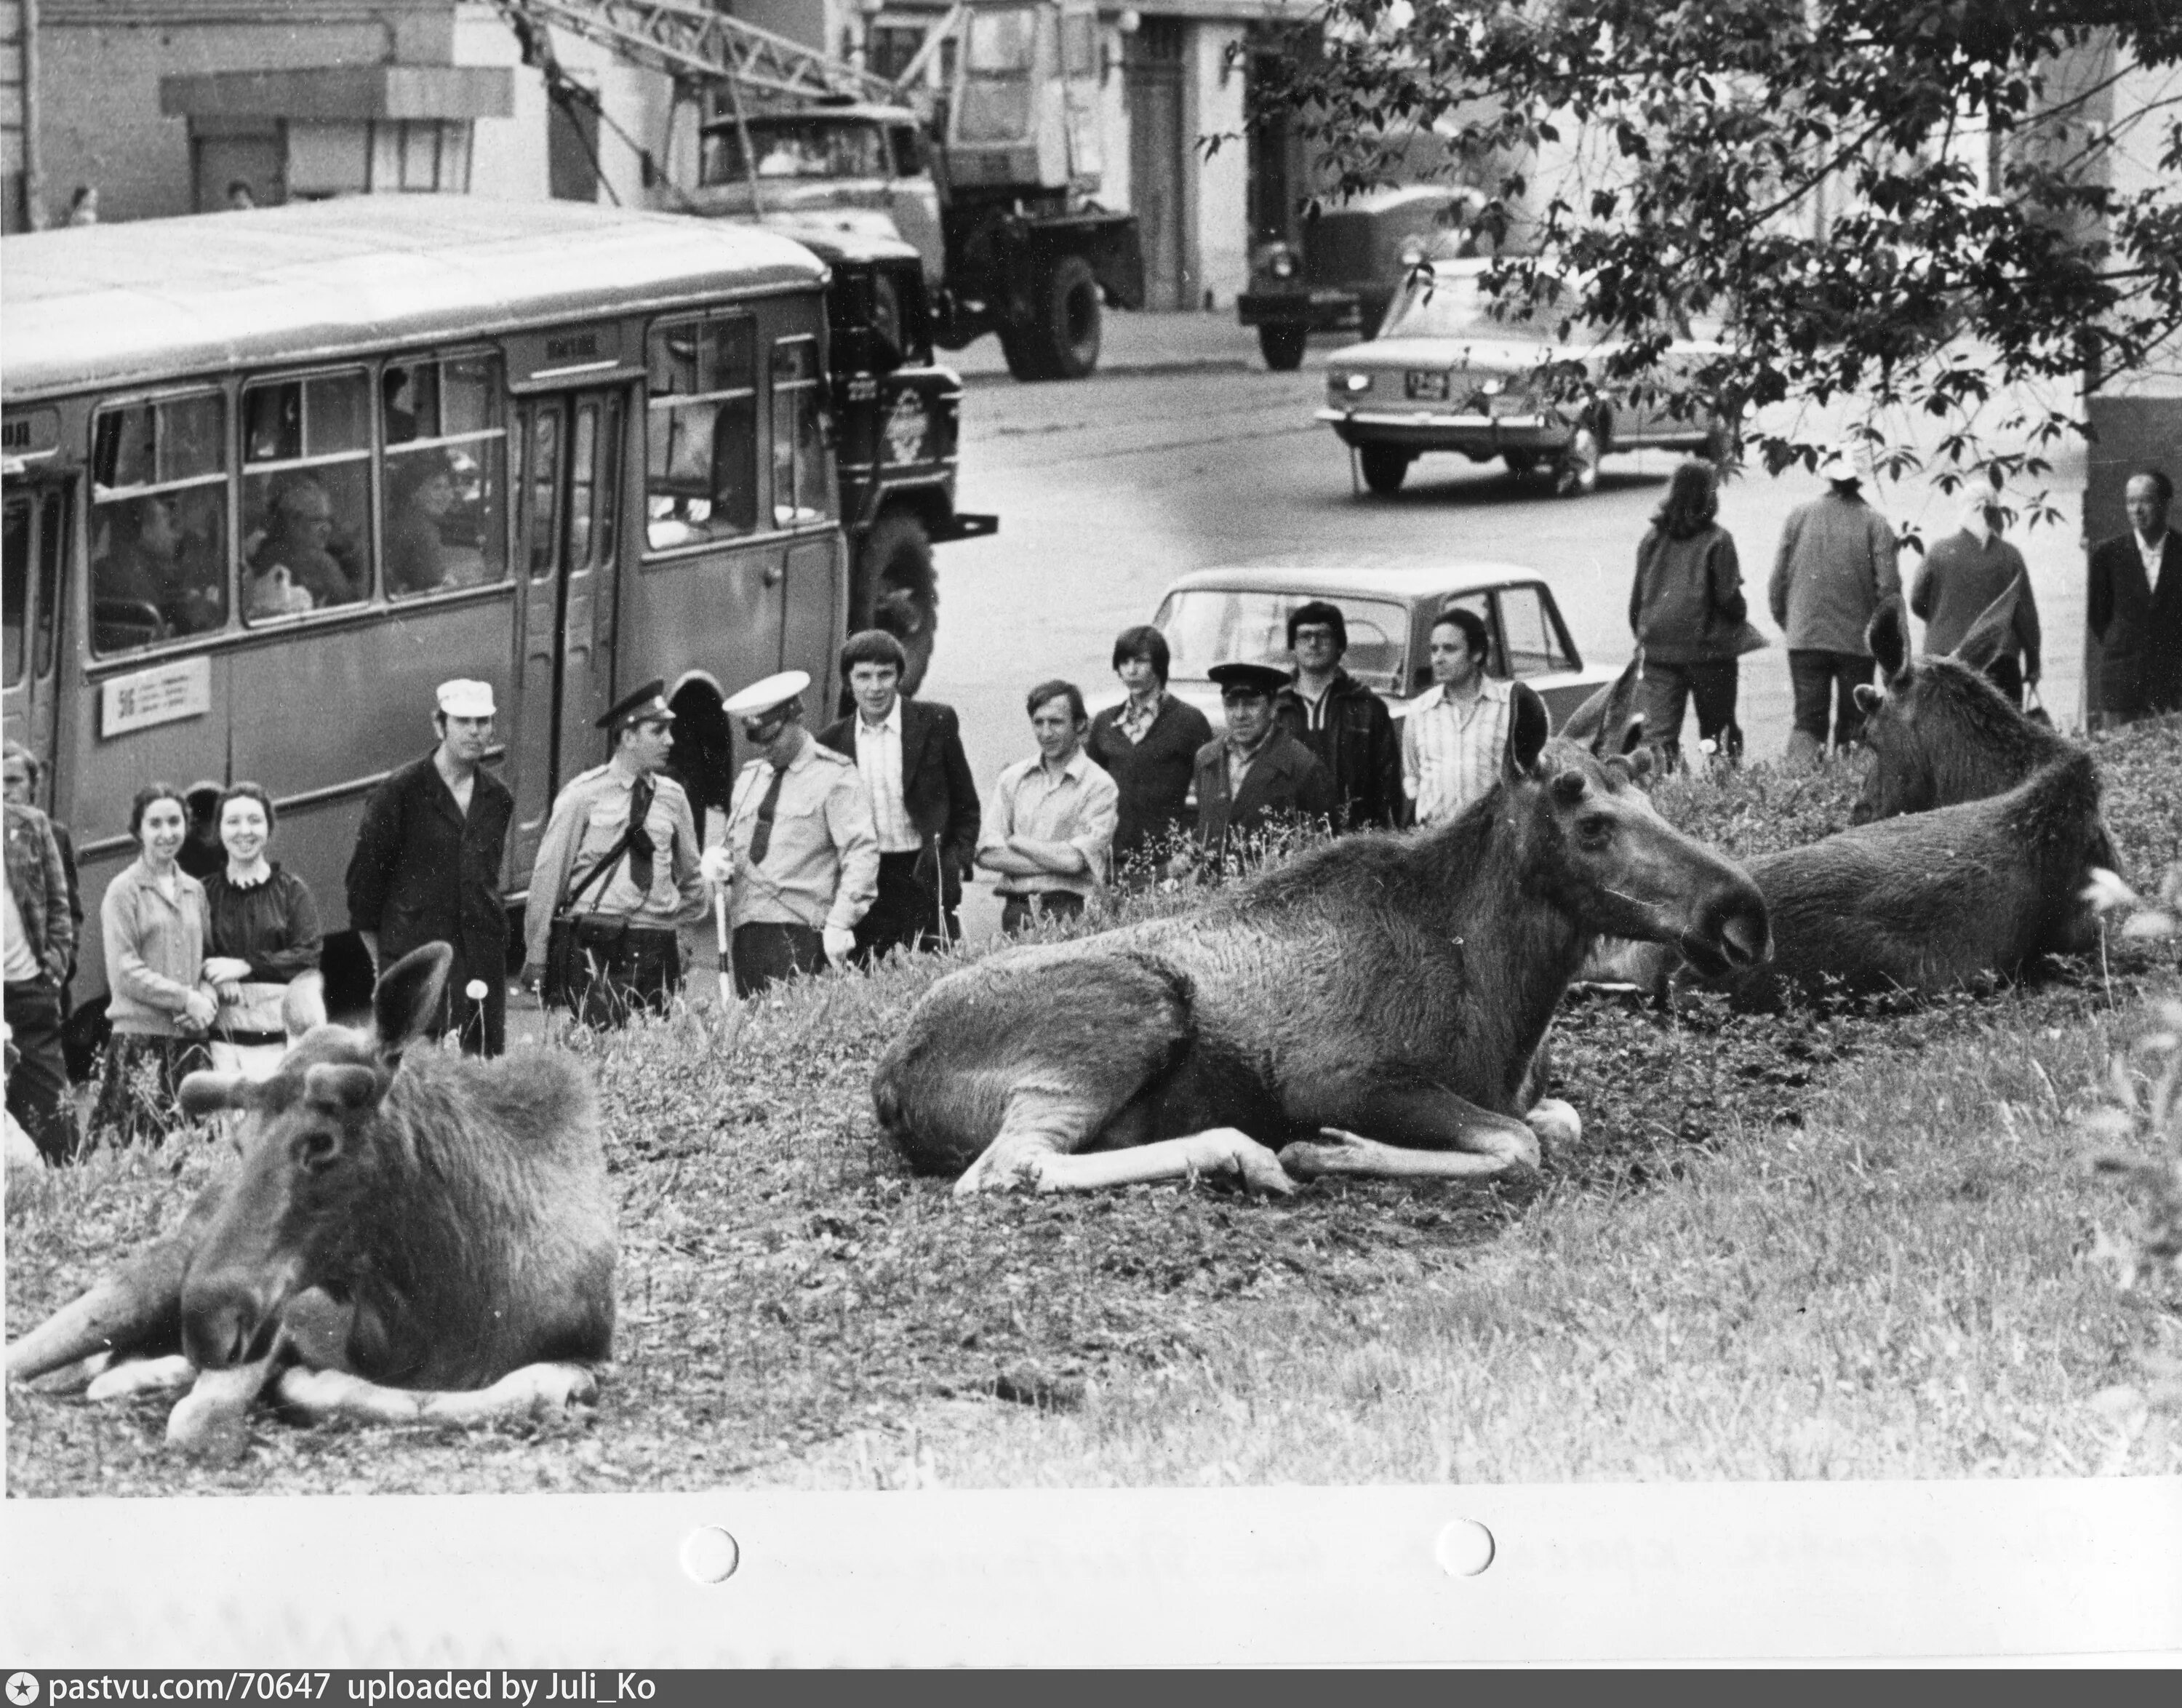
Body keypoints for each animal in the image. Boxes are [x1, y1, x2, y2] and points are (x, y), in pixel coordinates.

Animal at [1, 942, 615, 1466]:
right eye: (240, 1142)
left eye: (322, 1142)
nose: (205, 1322)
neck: (440, 1304)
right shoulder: (282, 1320)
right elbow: (208, 1420)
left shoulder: (588, 1353)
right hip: (153, 1280)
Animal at [868, 663, 1772, 1195]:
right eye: (1590, 822)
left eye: (1648, 789)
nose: (1743, 912)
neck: (1506, 997)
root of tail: (889, 1083)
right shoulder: (1338, 1078)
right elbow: (1519, 1142)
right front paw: (1326, 1149)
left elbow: (1553, 1122)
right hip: (1128, 1011)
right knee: (1005, 1166)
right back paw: (1244, 1150)